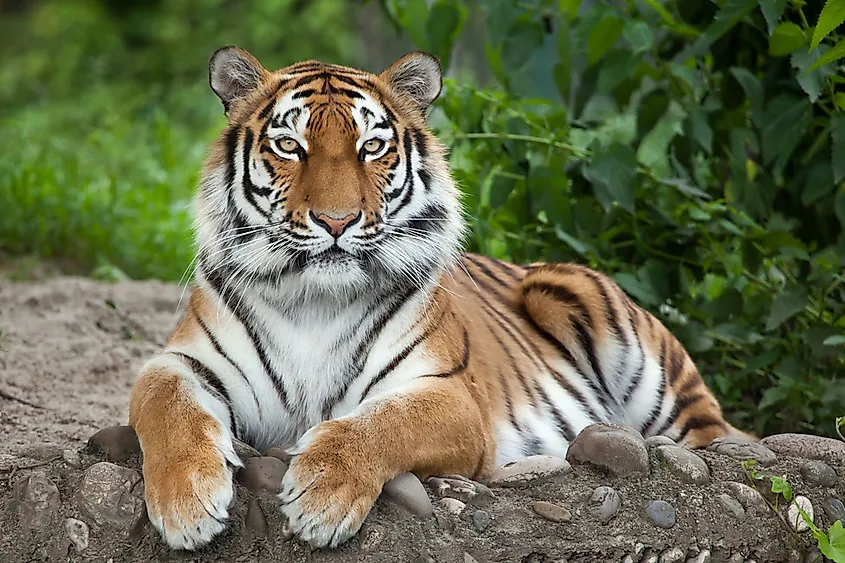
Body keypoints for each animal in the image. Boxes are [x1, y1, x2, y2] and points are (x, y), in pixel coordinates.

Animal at [127, 45, 753, 552]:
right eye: (289, 145)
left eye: (372, 147)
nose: (336, 221)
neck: (315, 302)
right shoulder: (183, 362)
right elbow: (166, 406)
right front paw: (186, 505)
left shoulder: (449, 395)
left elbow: (379, 424)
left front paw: (321, 496)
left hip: (599, 319)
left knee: (715, 436)